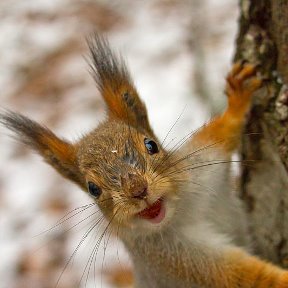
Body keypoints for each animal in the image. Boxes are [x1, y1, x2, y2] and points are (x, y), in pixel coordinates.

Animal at [1, 35, 288, 286]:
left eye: (151, 145)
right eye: (93, 189)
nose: (138, 190)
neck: (180, 212)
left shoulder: (202, 161)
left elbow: (222, 132)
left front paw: (238, 96)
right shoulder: (176, 260)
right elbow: (244, 277)